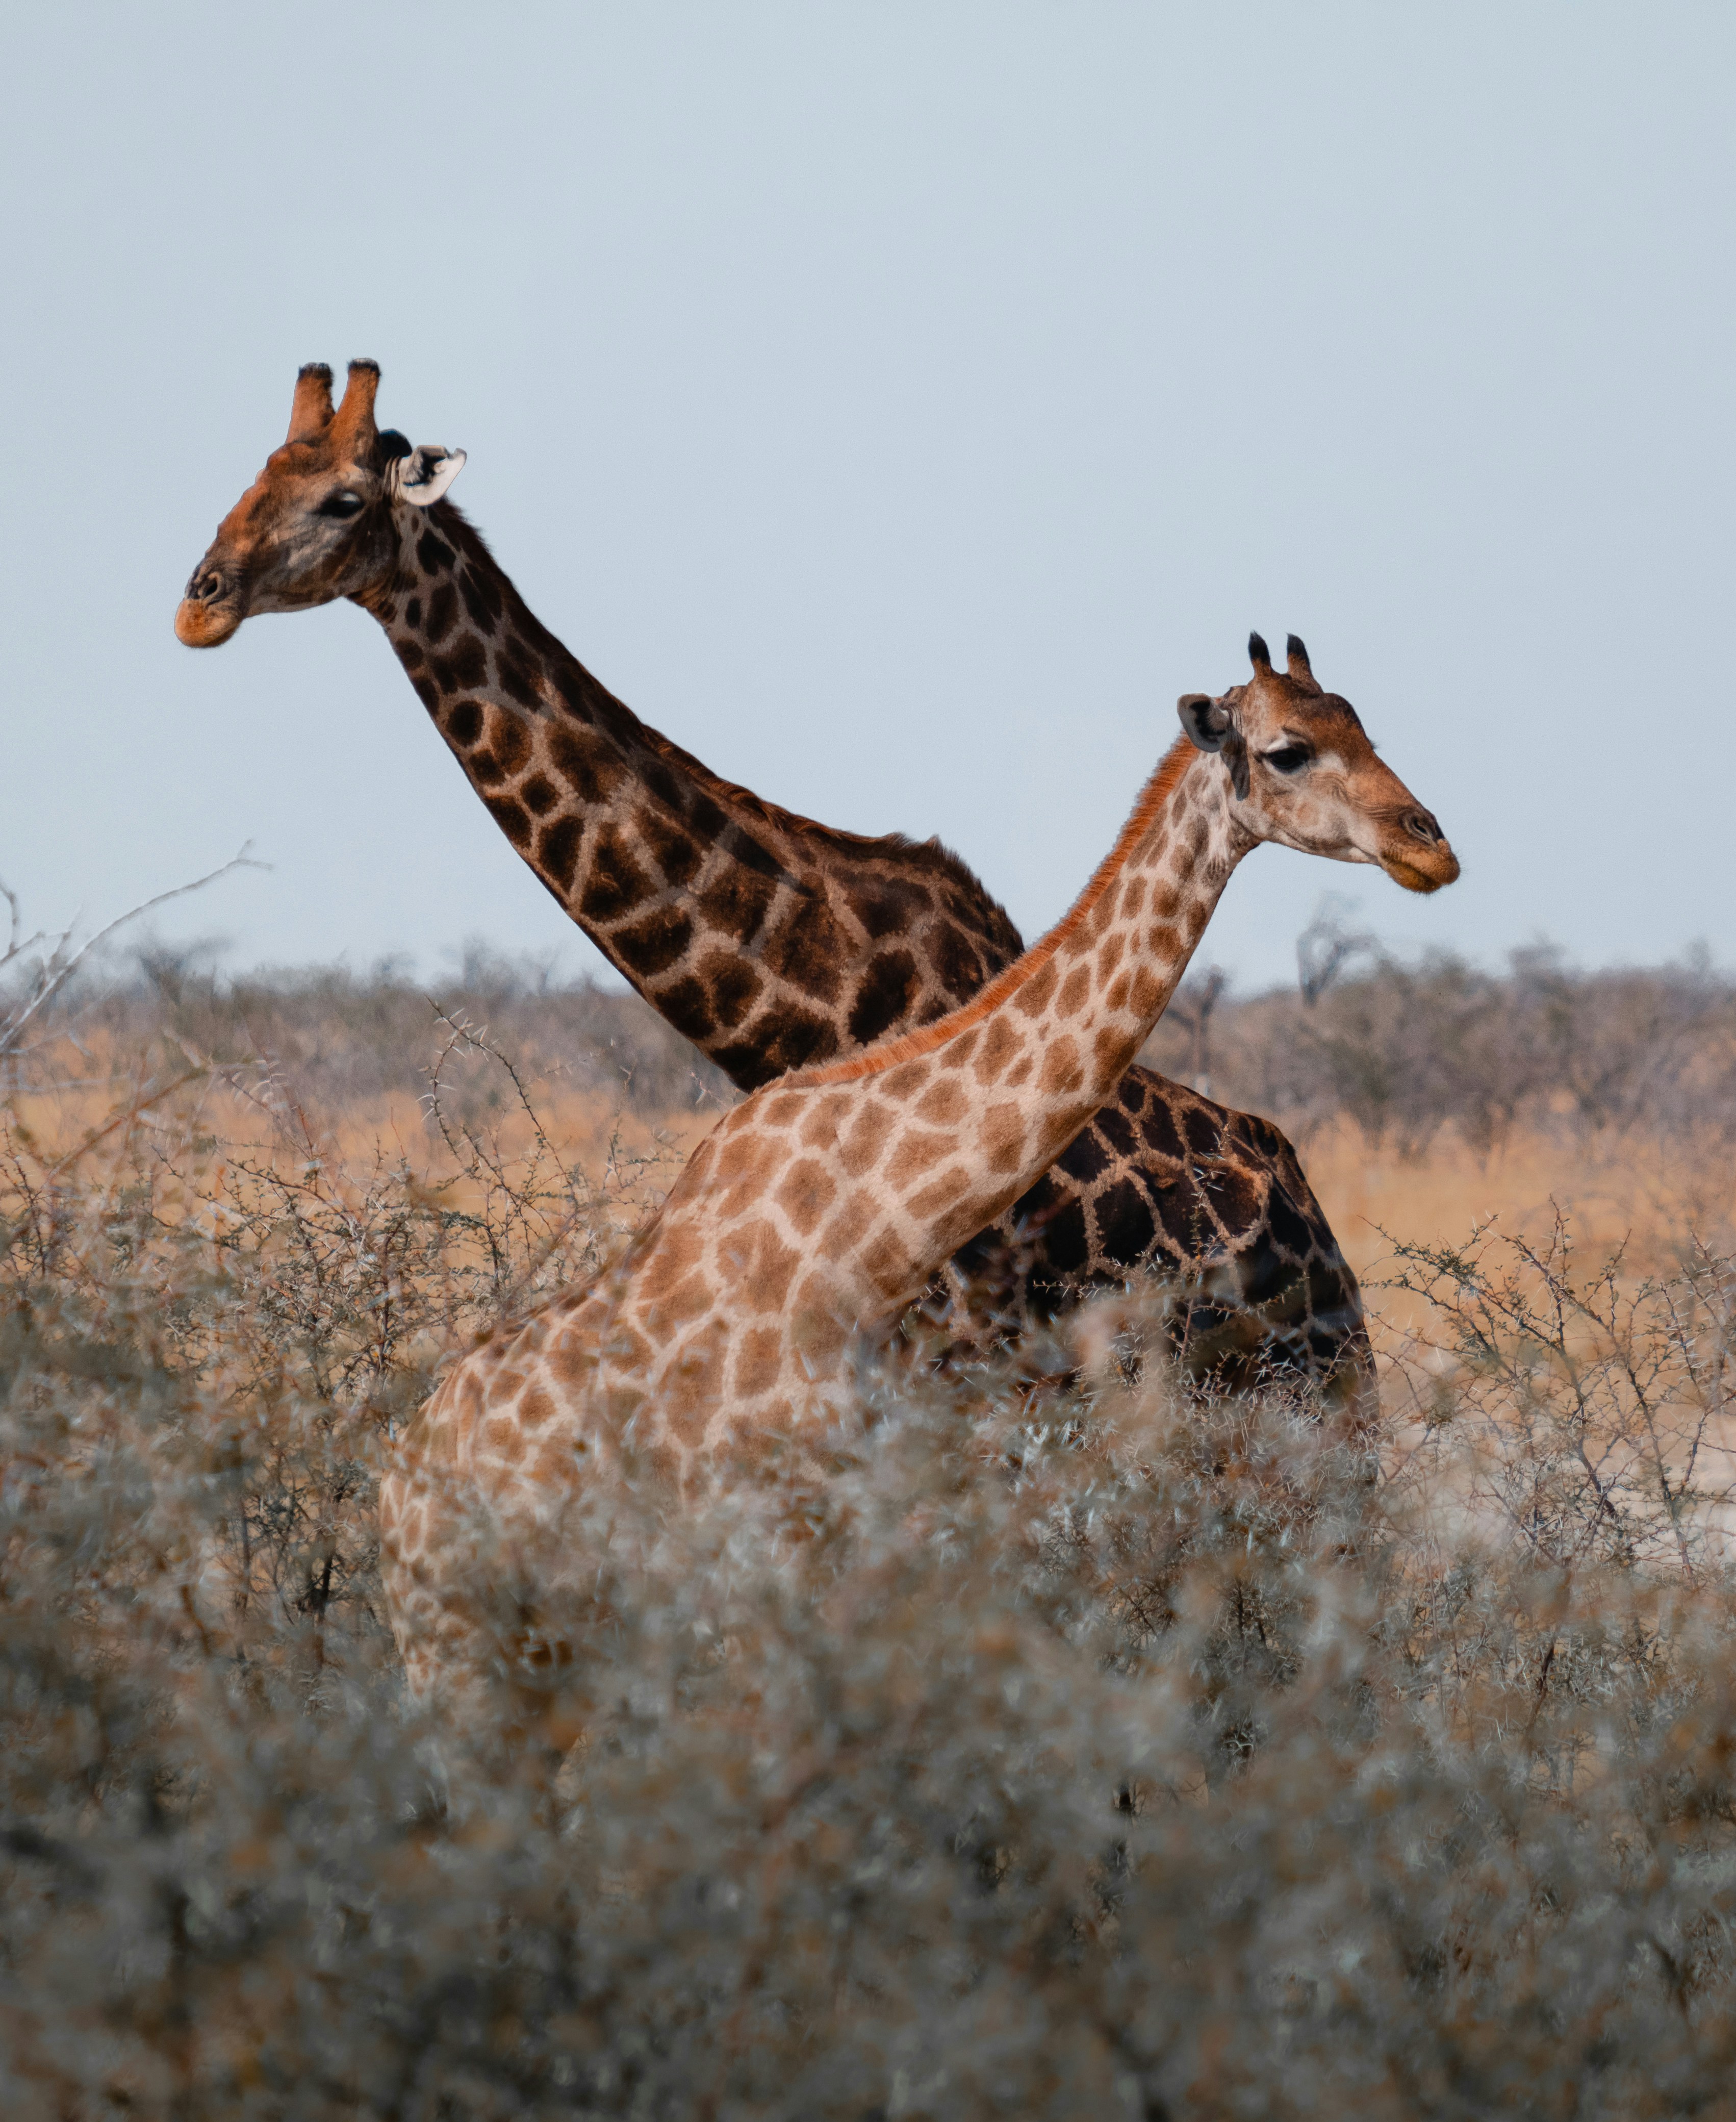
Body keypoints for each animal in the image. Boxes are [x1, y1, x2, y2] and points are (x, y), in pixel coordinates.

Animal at [377, 640, 1458, 1715]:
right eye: (1286, 751)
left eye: (1361, 725)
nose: (1429, 846)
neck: (867, 1232)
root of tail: (393, 1482)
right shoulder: (764, 1553)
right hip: (456, 1649)